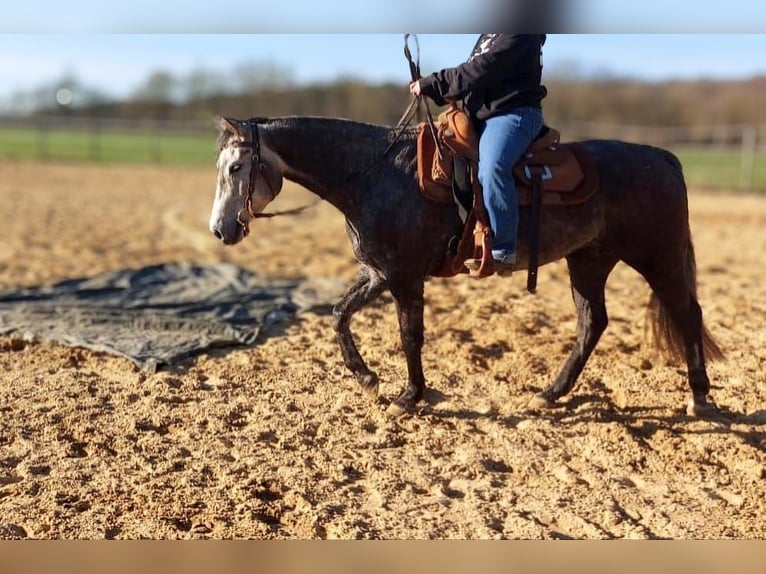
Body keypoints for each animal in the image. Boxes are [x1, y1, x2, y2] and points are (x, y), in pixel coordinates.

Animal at [209, 115, 723, 417]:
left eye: (235, 168)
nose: (220, 230)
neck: (377, 174)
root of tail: (662, 157)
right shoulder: (378, 273)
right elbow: (338, 316)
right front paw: (368, 377)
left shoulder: (404, 277)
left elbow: (409, 336)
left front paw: (408, 396)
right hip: (590, 261)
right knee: (593, 322)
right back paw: (550, 393)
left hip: (655, 256)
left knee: (686, 313)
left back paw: (700, 398)